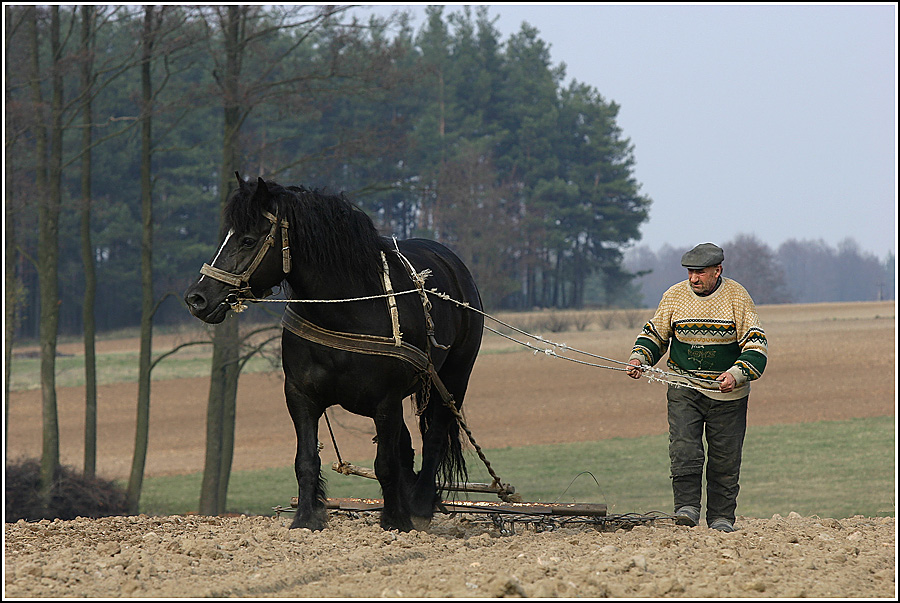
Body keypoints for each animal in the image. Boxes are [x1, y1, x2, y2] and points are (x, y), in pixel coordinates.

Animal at [183, 176, 486, 532]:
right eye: (227, 236)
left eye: (247, 240)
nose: (197, 298)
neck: (346, 310)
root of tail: (452, 263)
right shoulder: (300, 395)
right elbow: (306, 460)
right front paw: (306, 518)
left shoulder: (386, 401)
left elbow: (385, 463)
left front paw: (395, 520)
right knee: (407, 448)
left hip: (453, 378)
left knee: (435, 435)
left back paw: (420, 505)